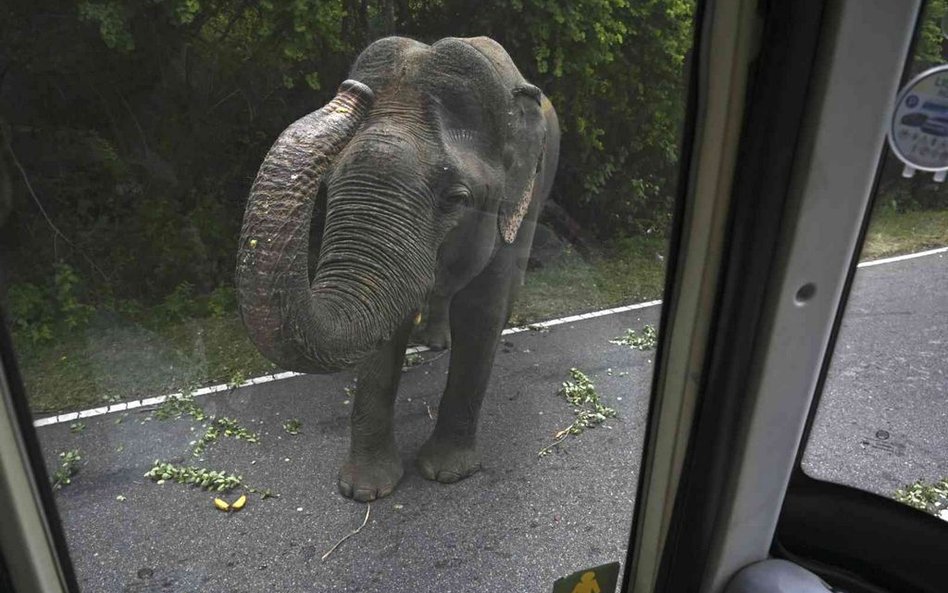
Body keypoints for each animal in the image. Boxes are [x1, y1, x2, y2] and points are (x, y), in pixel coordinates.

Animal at [239, 35, 564, 500]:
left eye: (456, 199)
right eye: (328, 184)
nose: (353, 89)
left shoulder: (512, 197)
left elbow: (481, 313)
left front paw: (447, 474)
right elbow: (388, 323)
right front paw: (365, 491)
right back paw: (434, 342)